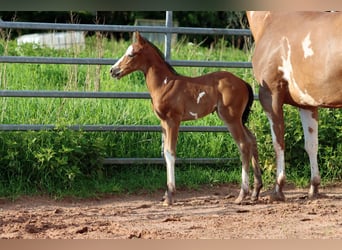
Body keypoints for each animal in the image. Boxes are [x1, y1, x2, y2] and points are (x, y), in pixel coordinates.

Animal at [109, 30, 262, 205]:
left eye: (131, 54)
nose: (113, 70)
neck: (165, 84)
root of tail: (243, 83)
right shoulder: (163, 123)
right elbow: (165, 153)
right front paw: (165, 194)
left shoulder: (173, 121)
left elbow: (170, 153)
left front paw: (169, 196)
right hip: (239, 119)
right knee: (252, 139)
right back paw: (256, 191)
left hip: (231, 119)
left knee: (243, 145)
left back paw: (242, 194)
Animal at [247, 11, 340, 202]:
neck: (270, 20)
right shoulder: (307, 103)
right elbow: (311, 144)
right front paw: (314, 188)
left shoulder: (270, 96)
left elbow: (279, 143)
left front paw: (277, 190)